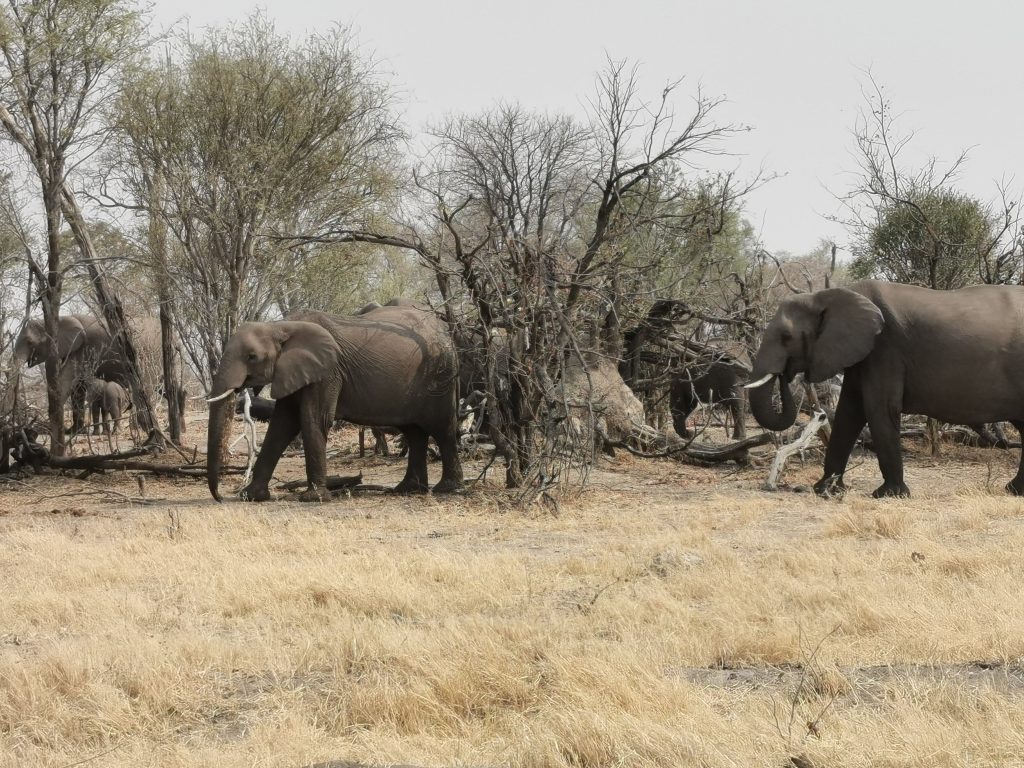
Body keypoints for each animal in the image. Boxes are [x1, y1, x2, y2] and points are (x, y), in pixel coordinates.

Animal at [207, 301, 464, 502]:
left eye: (252, 357)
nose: (220, 498)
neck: (280, 326)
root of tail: (446, 331)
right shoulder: (293, 371)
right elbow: (282, 426)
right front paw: (251, 496)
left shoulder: (328, 371)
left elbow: (313, 419)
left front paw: (314, 498)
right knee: (414, 432)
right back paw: (407, 490)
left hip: (439, 374)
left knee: (442, 427)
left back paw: (446, 489)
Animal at [746, 279, 1024, 498]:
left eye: (786, 337)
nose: (786, 375)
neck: (828, 295)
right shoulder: (861, 353)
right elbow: (849, 412)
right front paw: (825, 490)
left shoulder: (884, 348)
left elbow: (878, 409)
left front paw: (889, 495)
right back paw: (1014, 491)